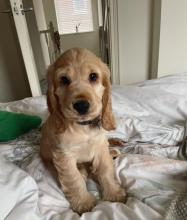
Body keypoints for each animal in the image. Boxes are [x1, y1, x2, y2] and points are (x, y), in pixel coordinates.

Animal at [40, 48, 126, 215]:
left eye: (93, 76)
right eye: (64, 79)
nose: (81, 105)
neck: (83, 127)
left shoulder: (100, 146)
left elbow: (106, 170)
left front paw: (113, 193)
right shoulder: (64, 156)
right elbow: (74, 179)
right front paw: (83, 203)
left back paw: (114, 148)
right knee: (82, 172)